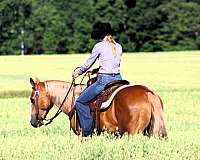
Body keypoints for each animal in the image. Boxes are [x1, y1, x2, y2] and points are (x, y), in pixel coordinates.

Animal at [29, 76, 167, 138]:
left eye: (32, 99)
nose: (33, 122)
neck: (73, 99)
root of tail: (148, 93)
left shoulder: (82, 135)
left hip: (133, 133)